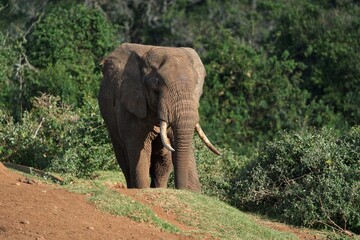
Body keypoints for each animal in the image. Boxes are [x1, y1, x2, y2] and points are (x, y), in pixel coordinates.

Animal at [99, 43, 222, 192]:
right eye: (156, 83)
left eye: (196, 84)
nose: (181, 189)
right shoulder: (128, 104)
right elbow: (138, 147)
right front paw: (142, 189)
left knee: (162, 164)